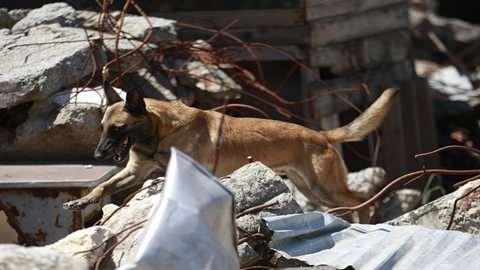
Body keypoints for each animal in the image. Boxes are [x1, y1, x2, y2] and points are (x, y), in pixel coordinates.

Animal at [63, 79, 398, 220]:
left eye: (118, 128)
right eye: (103, 128)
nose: (97, 156)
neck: (161, 133)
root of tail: (320, 134)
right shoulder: (133, 171)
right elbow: (105, 186)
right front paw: (83, 201)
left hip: (325, 187)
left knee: (363, 200)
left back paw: (369, 219)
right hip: (312, 189)